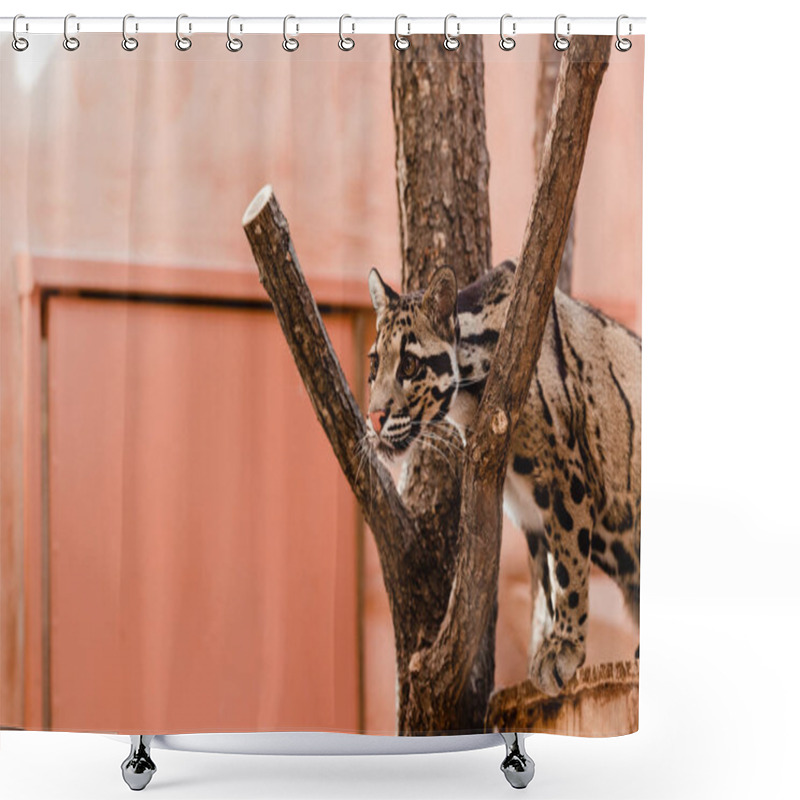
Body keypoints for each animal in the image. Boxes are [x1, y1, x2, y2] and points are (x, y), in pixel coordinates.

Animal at [366, 260, 640, 692]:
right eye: (374, 365)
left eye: (409, 364)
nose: (374, 418)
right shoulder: (529, 514)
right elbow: (547, 583)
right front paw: (549, 647)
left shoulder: (564, 477)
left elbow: (569, 567)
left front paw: (563, 648)